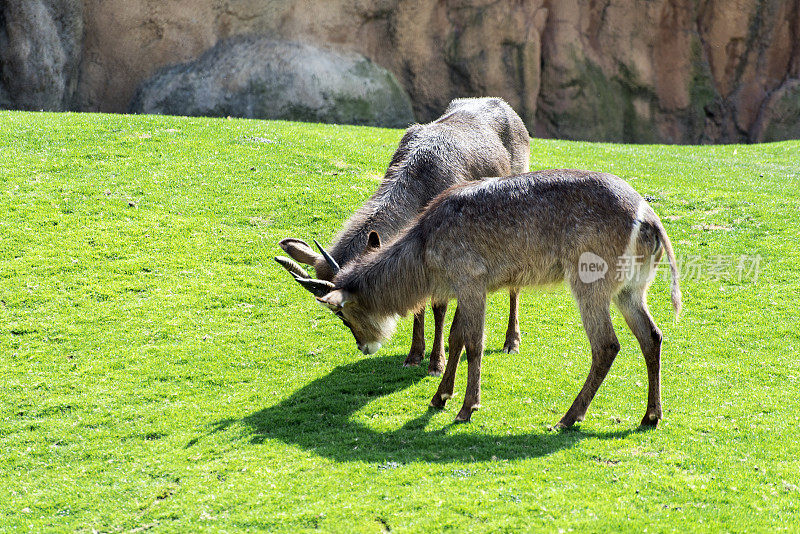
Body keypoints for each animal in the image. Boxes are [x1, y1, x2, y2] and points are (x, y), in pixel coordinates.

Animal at [276, 96, 532, 374]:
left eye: (342, 310)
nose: (364, 346)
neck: (423, 176)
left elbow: (438, 306)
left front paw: (436, 362)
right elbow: (417, 303)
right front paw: (413, 355)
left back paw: (511, 342)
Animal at [312, 170, 680, 430]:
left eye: (343, 315)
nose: (364, 346)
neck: (424, 245)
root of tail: (650, 220)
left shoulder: (471, 281)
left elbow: (473, 343)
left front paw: (466, 408)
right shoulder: (468, 288)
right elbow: (457, 337)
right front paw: (439, 397)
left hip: (590, 283)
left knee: (607, 345)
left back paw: (567, 418)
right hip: (631, 290)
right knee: (652, 335)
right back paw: (650, 417)